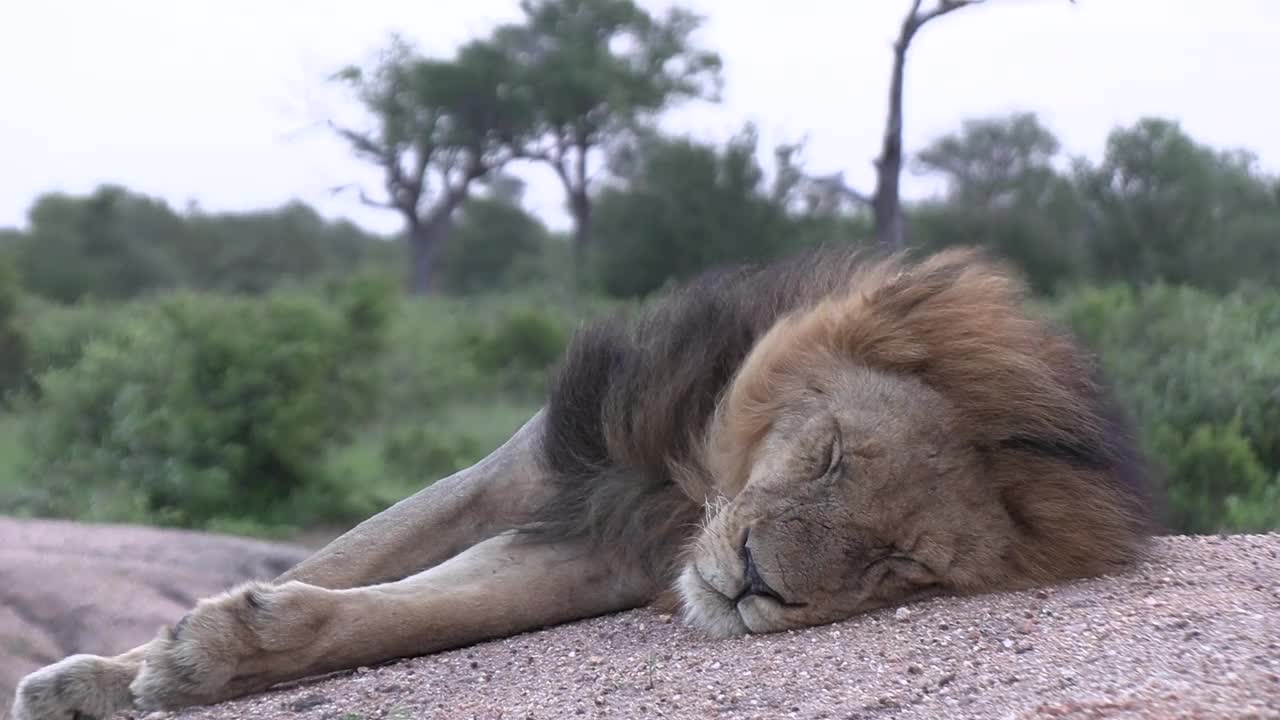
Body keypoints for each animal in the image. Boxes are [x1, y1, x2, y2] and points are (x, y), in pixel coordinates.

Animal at [10, 245, 1157, 717]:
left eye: (901, 563)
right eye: (830, 454)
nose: (757, 581)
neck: (688, 486)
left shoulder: (596, 560)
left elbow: (390, 615)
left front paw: (207, 653)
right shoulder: (521, 472)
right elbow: (340, 560)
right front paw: (98, 677)